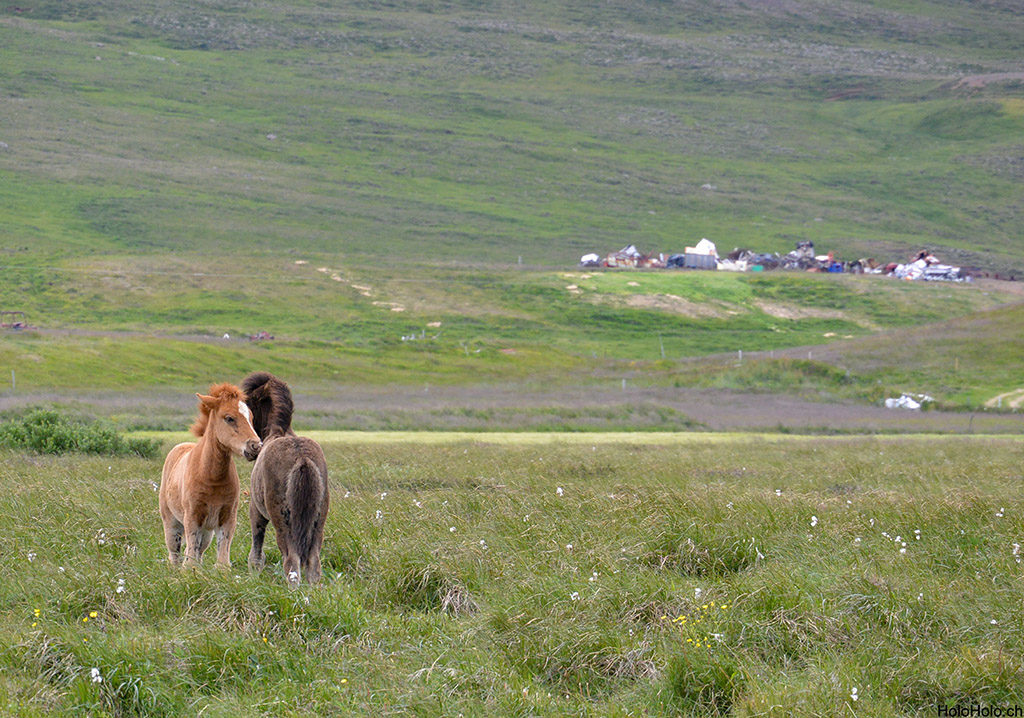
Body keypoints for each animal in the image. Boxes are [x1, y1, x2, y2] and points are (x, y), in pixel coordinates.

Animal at [159, 383, 262, 568]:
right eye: (229, 418)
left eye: (250, 417)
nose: (256, 446)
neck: (212, 477)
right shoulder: (192, 516)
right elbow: (190, 557)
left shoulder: (228, 516)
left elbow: (222, 559)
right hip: (171, 523)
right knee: (175, 554)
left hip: (207, 532)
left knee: (199, 551)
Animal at [241, 371, 330, 585]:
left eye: (248, 408)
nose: (250, 449)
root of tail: (302, 459)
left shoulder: (256, 510)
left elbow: (256, 553)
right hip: (318, 522)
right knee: (314, 563)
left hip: (282, 524)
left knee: (291, 562)